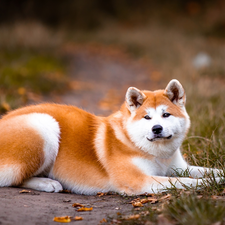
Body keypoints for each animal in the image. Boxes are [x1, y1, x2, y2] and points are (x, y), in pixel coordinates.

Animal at [0, 79, 221, 195]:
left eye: (166, 115)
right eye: (147, 117)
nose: (157, 129)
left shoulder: (179, 167)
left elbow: (204, 172)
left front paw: (218, 174)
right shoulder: (139, 180)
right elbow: (185, 182)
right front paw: (214, 182)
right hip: (45, 125)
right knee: (13, 179)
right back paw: (47, 183)